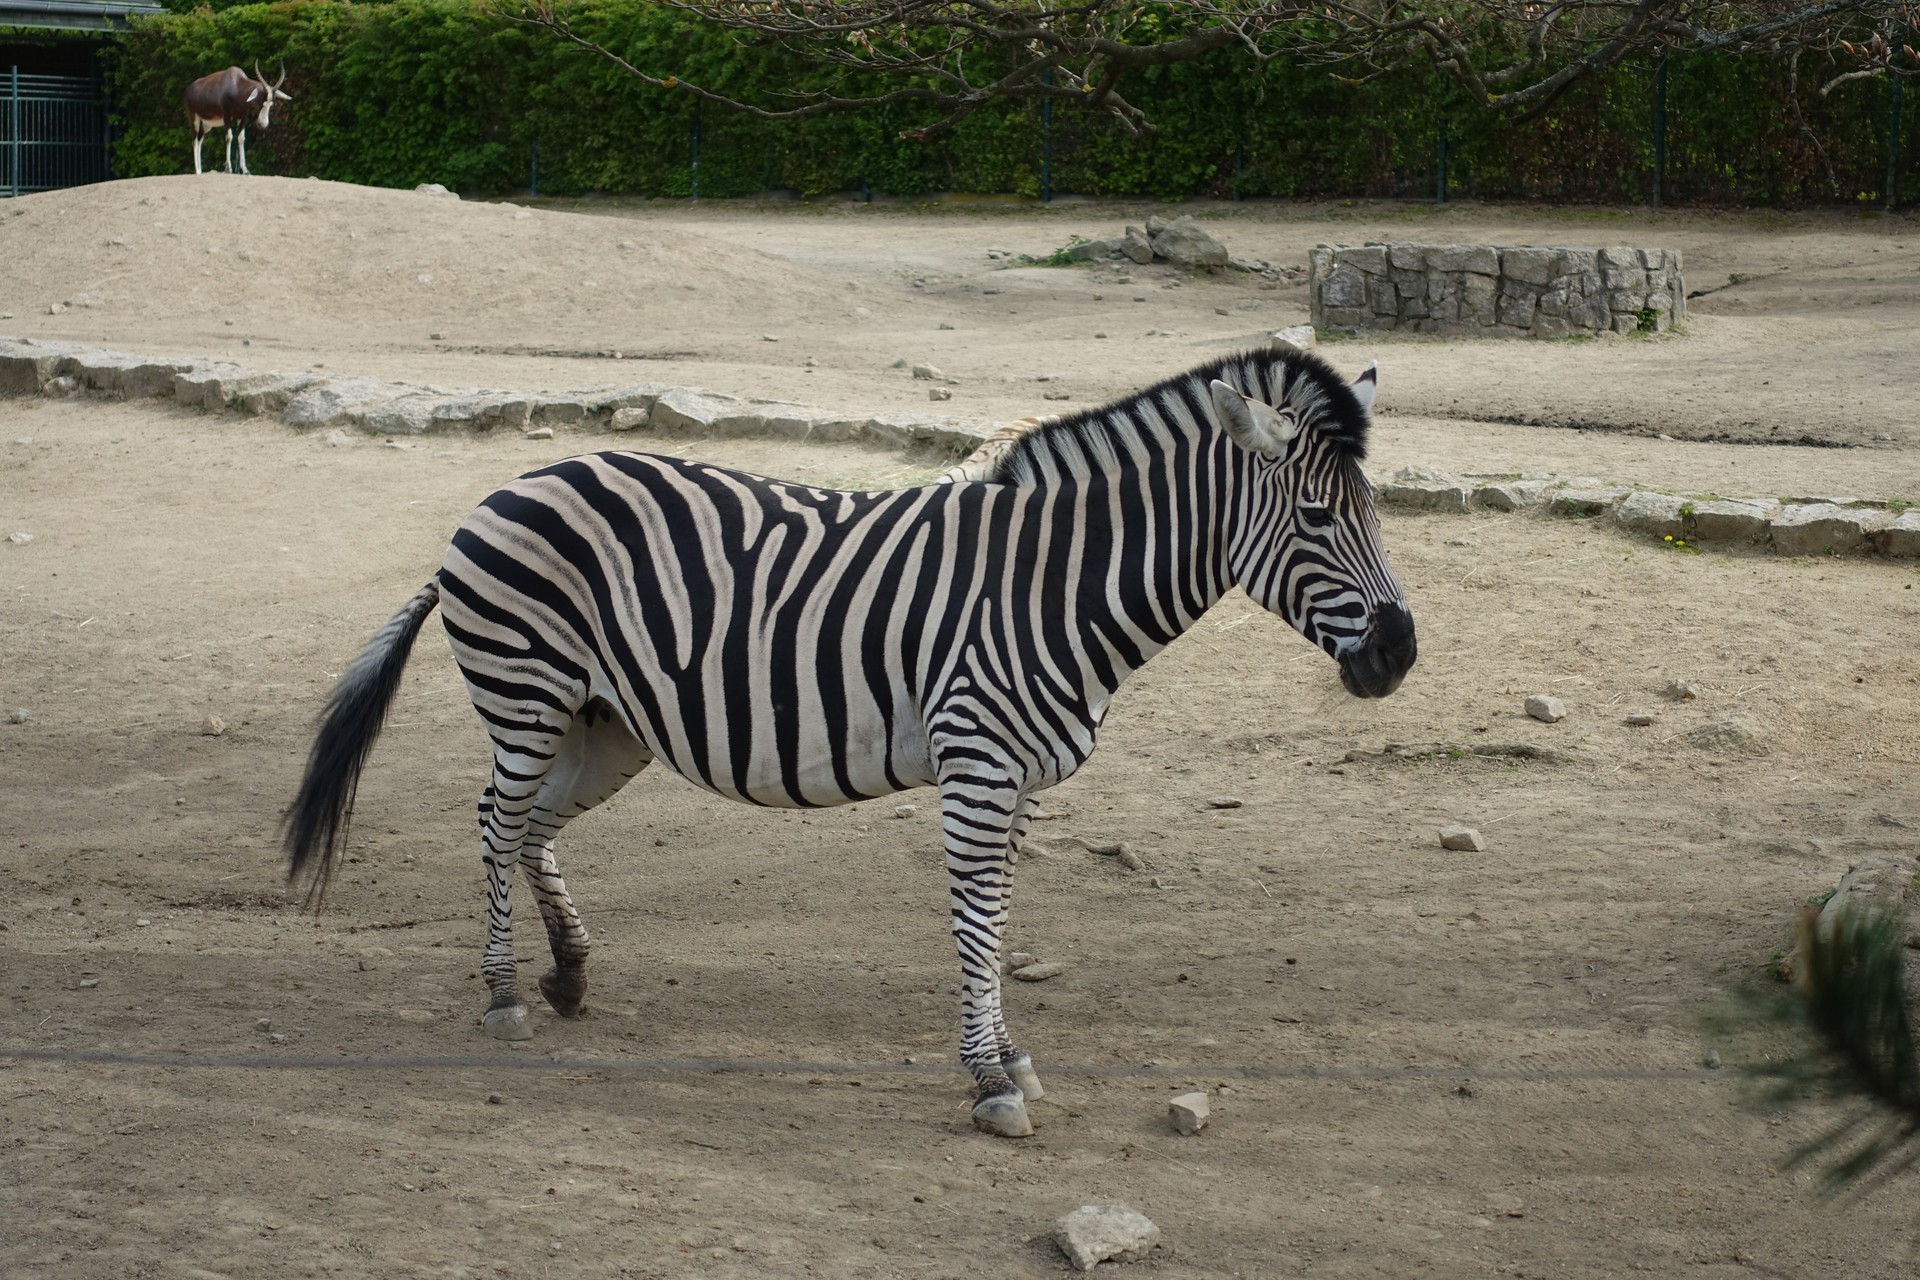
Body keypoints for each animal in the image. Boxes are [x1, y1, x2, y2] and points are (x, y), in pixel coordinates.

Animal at [285, 345, 1416, 1139]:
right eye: (1318, 518)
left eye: (1377, 511)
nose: (1400, 654)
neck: (1056, 584)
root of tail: (512, 484)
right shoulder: (977, 765)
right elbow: (976, 923)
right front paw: (989, 1079)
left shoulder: (1021, 780)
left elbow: (1000, 919)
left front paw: (1009, 1054)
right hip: (525, 695)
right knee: (493, 818)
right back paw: (507, 990)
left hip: (607, 724)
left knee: (529, 825)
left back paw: (566, 973)